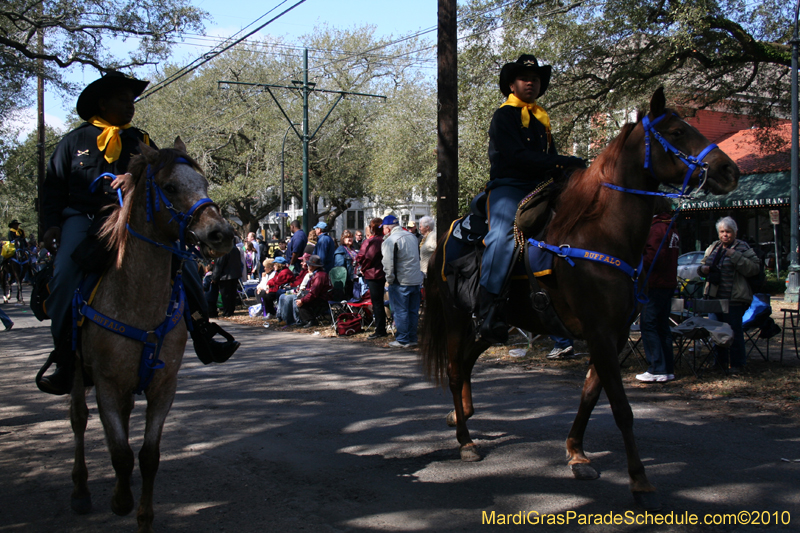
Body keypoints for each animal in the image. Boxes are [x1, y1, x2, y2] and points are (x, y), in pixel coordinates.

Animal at [68, 138, 234, 532]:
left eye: (204, 184)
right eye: (170, 187)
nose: (222, 234)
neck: (139, 300)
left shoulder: (163, 385)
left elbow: (147, 456)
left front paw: (143, 515)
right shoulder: (107, 383)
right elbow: (120, 453)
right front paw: (120, 500)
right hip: (78, 372)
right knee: (79, 419)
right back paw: (80, 489)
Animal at [422, 89, 740, 510]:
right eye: (676, 131)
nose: (729, 171)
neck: (601, 231)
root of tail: (444, 238)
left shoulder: (614, 335)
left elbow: (590, 395)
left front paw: (576, 453)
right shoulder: (600, 332)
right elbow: (621, 408)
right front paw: (640, 481)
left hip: (496, 323)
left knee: (469, 360)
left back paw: (463, 416)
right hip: (458, 317)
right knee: (456, 368)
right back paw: (465, 441)